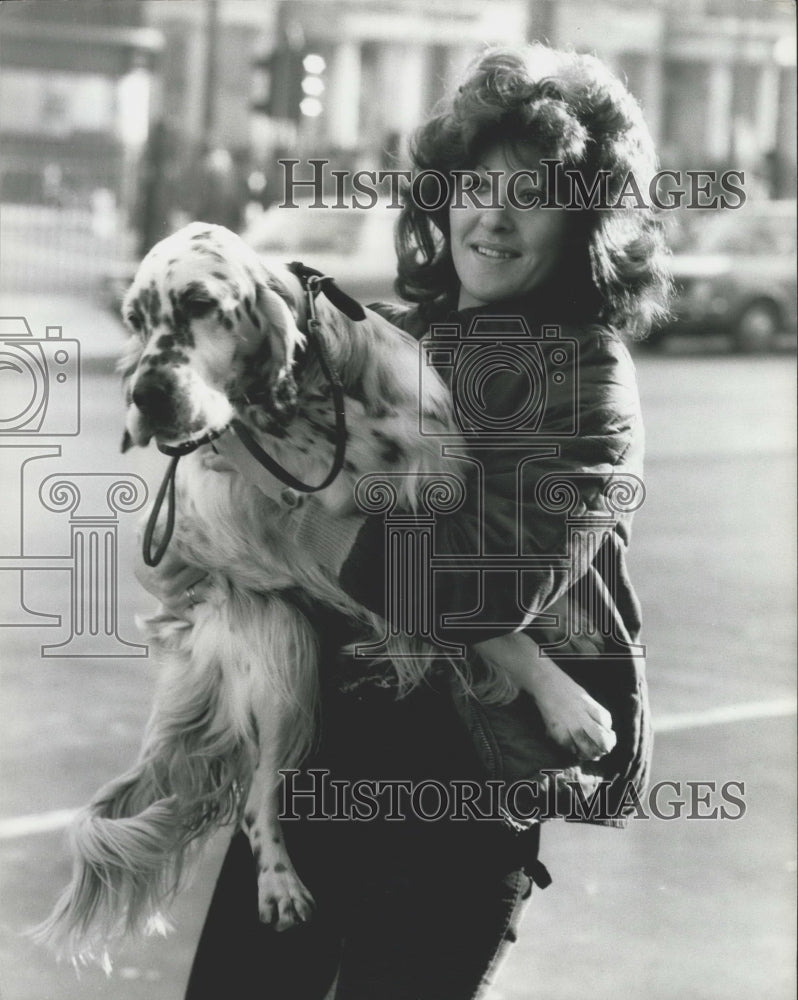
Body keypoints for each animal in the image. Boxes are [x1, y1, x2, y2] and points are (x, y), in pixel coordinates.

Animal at [34, 221, 466, 968]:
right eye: (135, 321)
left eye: (201, 304)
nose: (144, 397)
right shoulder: (318, 540)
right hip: (284, 651)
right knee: (258, 797)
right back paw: (279, 883)